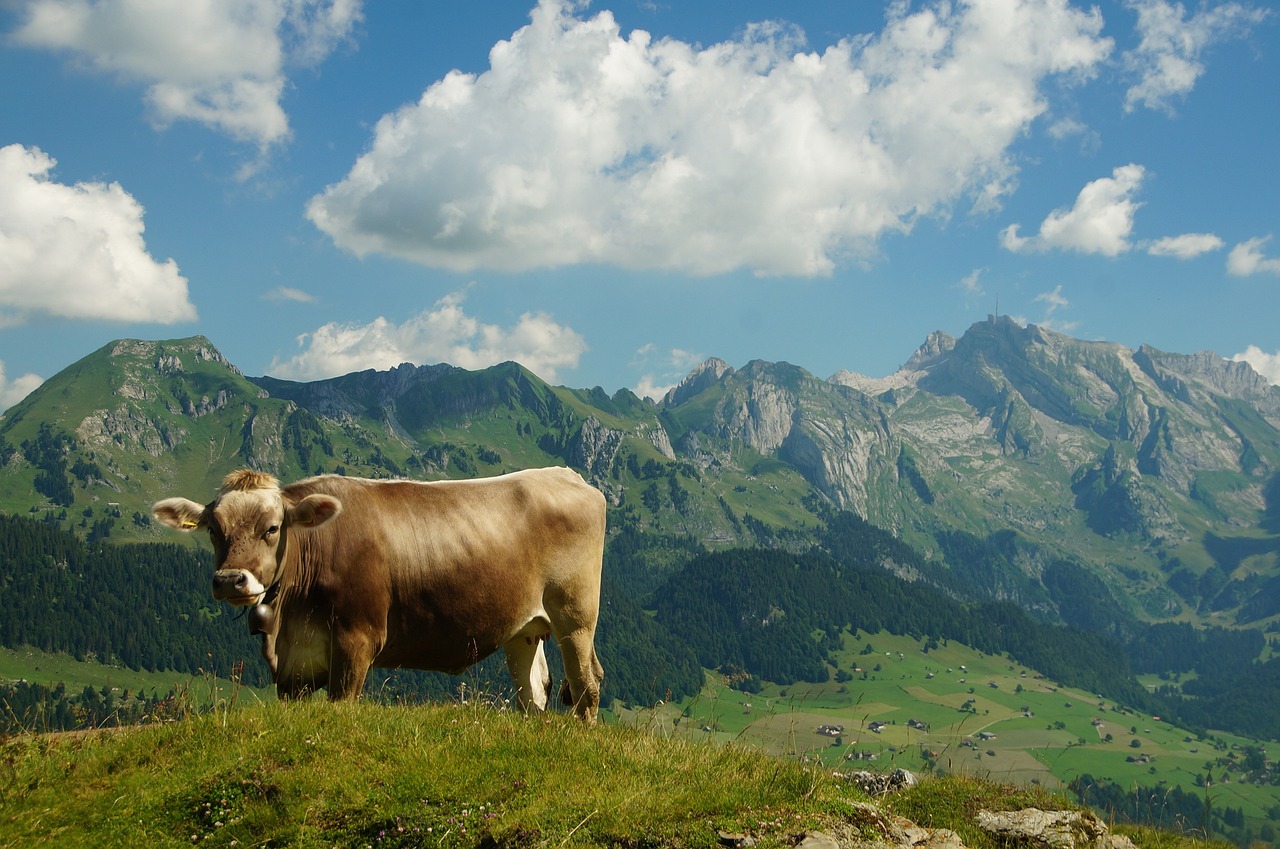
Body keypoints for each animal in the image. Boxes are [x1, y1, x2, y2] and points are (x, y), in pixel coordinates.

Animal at [152, 468, 606, 722]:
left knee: (586, 685)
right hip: (524, 628)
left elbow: (341, 704)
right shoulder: (293, 666)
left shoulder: (357, 639)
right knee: (533, 692)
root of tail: (566, 475)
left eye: (272, 528)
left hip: (575, 614)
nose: (231, 580)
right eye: (214, 529)